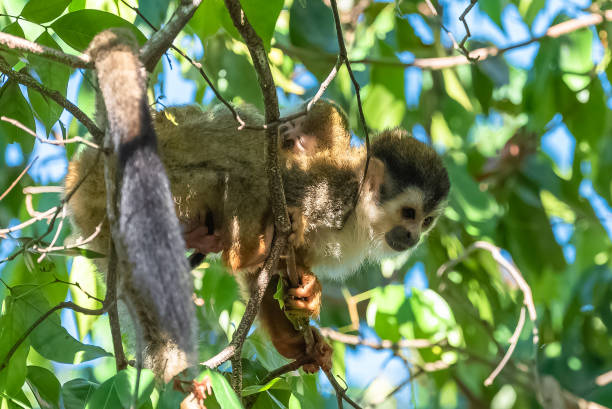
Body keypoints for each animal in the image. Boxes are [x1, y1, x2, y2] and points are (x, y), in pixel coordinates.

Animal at [67, 30, 450, 378]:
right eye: (408, 213)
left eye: (426, 221)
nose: (413, 237)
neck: (357, 217)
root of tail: (86, 167)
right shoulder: (330, 194)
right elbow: (270, 180)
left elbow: (262, 280)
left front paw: (301, 327)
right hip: (166, 164)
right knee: (246, 158)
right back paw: (245, 249)